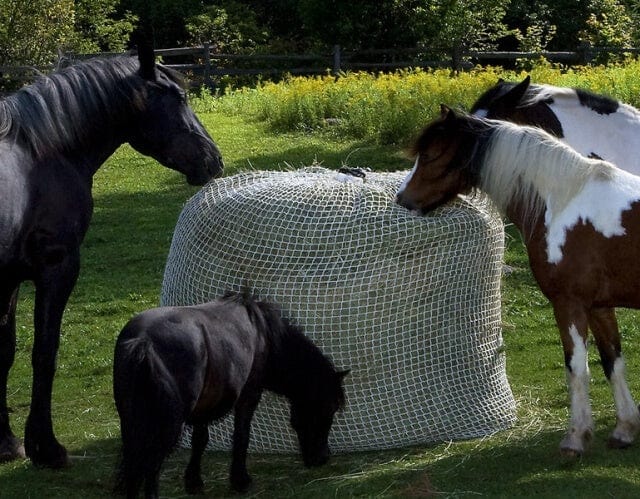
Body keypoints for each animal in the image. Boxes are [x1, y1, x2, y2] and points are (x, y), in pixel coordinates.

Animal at [0, 48, 225, 466]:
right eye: (179, 98)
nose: (213, 159)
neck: (39, 154)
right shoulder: (57, 267)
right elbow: (44, 353)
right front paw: (46, 446)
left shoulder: (7, 280)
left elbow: (4, 353)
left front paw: (7, 442)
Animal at [112, 292, 348, 498]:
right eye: (329, 407)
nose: (323, 458)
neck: (263, 333)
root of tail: (143, 342)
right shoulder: (249, 395)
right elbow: (241, 436)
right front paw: (240, 480)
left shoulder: (204, 407)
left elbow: (200, 440)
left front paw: (194, 482)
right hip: (166, 426)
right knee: (151, 466)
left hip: (131, 421)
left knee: (133, 464)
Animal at [398, 105, 640, 458]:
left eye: (428, 155)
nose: (402, 199)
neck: (562, 199)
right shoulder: (598, 306)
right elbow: (613, 362)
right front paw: (624, 429)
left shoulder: (568, 305)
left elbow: (577, 368)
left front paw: (575, 438)